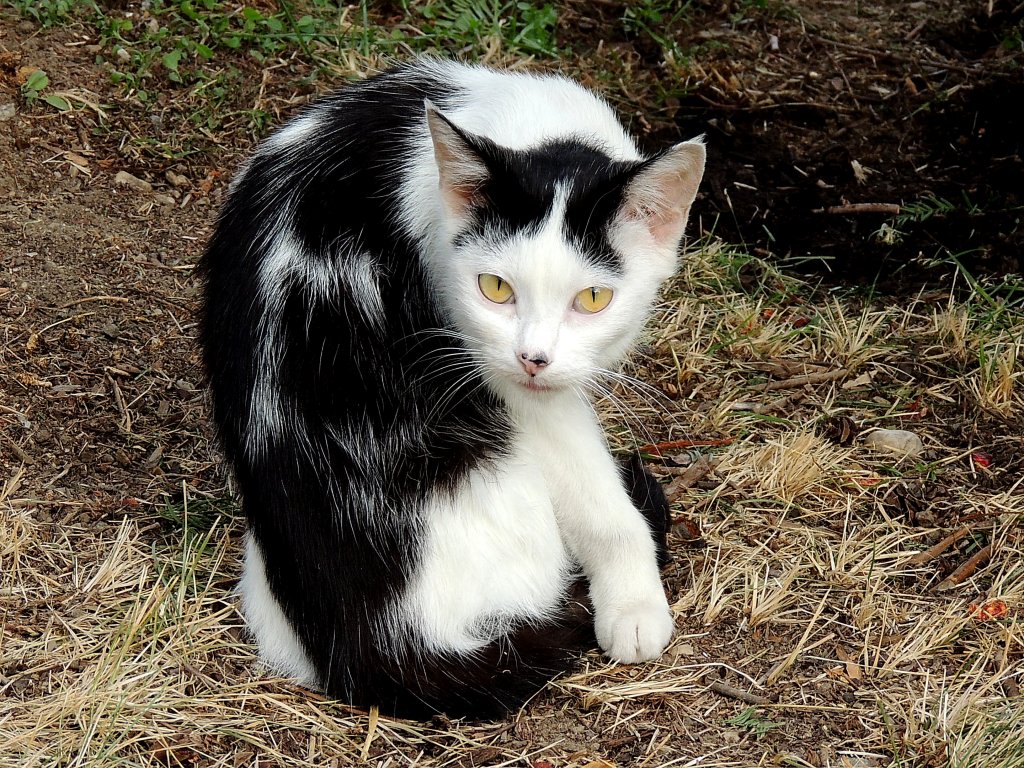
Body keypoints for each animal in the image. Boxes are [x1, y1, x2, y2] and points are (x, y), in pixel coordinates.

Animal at [203, 57, 708, 720]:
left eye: (593, 298)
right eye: (494, 287)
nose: (533, 358)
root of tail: (376, 644)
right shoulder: (494, 366)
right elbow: (592, 490)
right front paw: (634, 602)